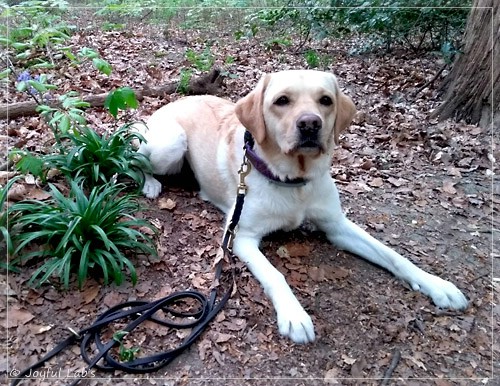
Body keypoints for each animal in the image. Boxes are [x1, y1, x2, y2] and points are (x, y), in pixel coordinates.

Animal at [136, 70, 464, 344]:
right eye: (282, 101)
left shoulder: (337, 225)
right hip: (171, 143)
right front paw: (295, 316)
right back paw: (150, 184)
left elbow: (393, 255)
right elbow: (275, 275)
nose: (310, 124)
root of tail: (171, 102)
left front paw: (436, 285)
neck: (294, 181)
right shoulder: (241, 236)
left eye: (325, 100)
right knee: (137, 161)